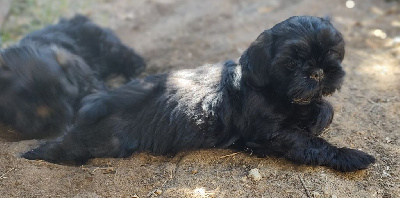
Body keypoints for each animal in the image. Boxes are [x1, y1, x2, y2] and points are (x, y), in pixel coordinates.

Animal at [0, 15, 146, 138]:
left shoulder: (88, 83)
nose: (60, 120)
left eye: (64, 94)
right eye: (28, 101)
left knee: (126, 55)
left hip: (107, 46)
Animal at [24, 16, 376, 172]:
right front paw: (351, 155)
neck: (266, 87)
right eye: (292, 62)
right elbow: (310, 142)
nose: (317, 71)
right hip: (102, 142)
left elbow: (322, 109)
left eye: (332, 54)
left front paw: (318, 112)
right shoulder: (270, 133)